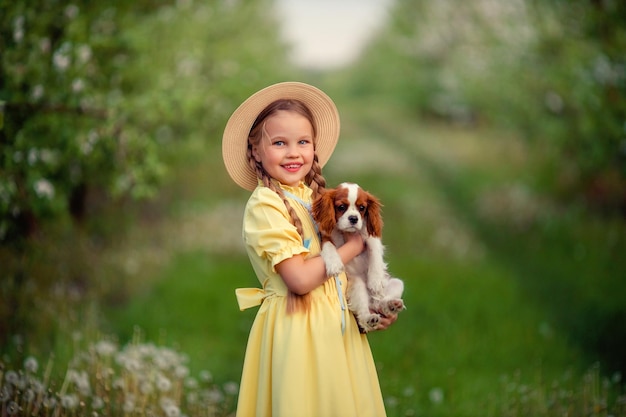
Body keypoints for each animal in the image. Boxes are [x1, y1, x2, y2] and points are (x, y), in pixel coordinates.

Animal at [312, 182, 404, 332]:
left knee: (380, 303)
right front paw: (334, 264)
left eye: (362, 208)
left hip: (396, 283)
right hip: (358, 285)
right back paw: (370, 318)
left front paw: (375, 280)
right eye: (341, 207)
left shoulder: (370, 237)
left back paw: (390, 304)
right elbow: (328, 247)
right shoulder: (326, 237)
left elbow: (374, 252)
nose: (354, 219)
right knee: (364, 311)